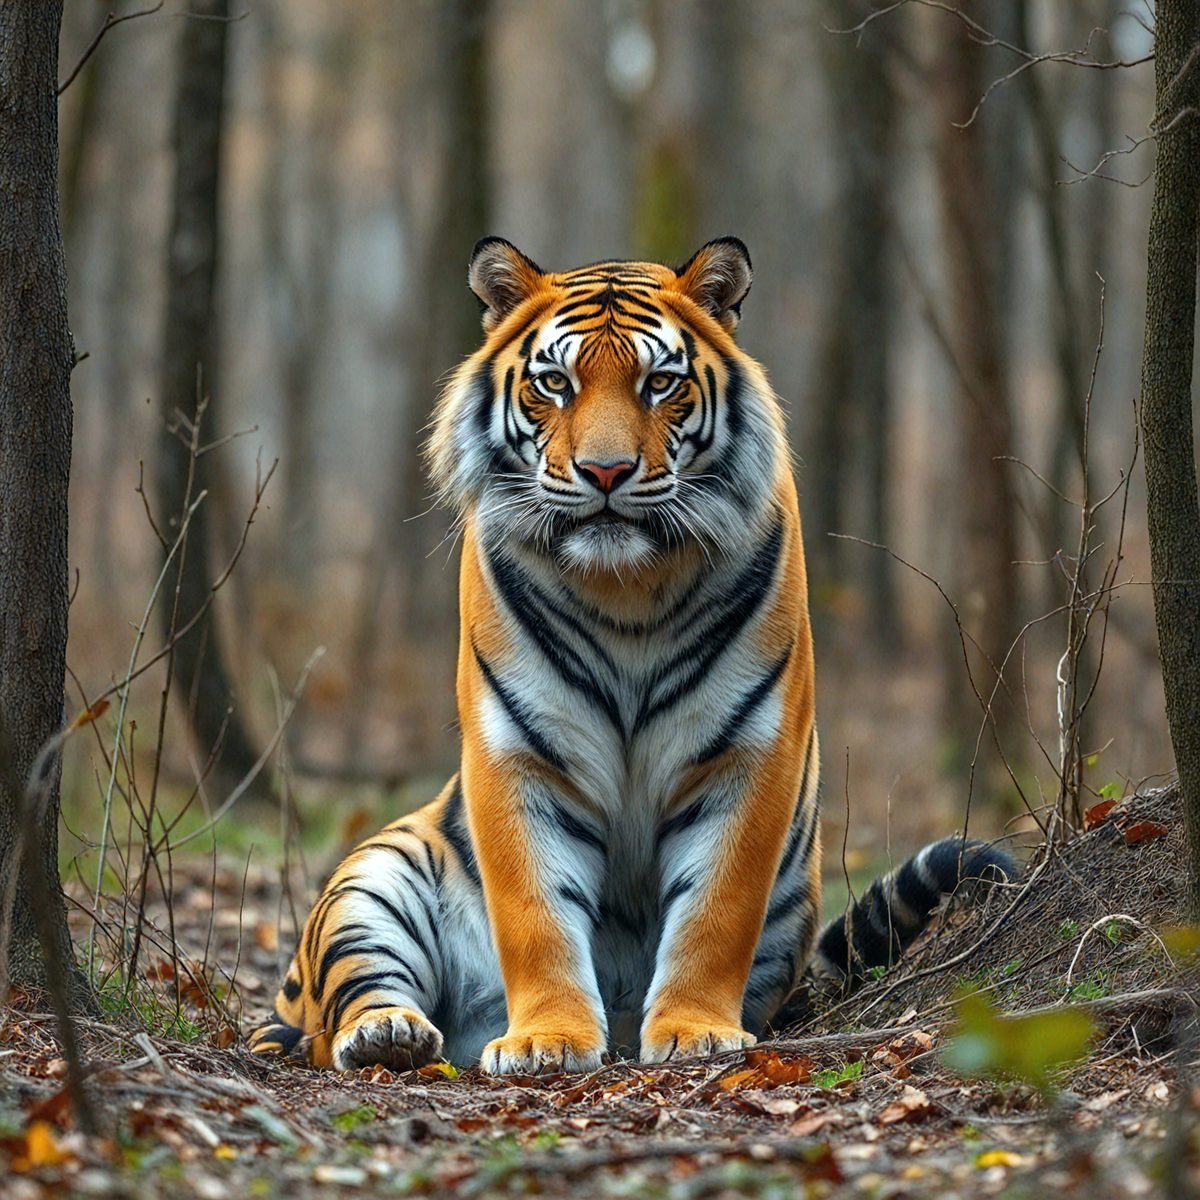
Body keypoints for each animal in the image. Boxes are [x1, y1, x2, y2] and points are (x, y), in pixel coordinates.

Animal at [250, 237, 1012, 1074]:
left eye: (660, 384)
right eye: (556, 382)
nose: (606, 472)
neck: (628, 593)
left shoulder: (751, 750)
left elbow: (716, 907)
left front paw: (695, 1029)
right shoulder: (516, 750)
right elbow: (535, 910)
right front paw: (548, 1040)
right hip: (373, 880)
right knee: (335, 1016)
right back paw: (390, 1034)